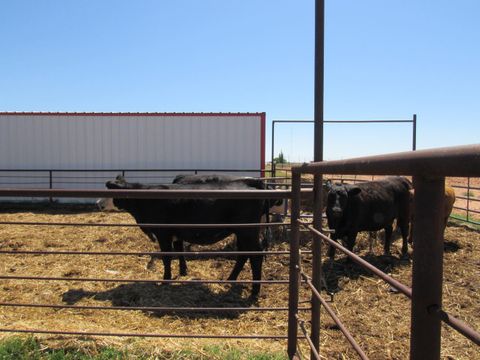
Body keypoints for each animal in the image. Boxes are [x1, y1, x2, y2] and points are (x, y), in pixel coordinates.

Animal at [101, 175, 282, 298]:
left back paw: (255, 291)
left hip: (248, 231)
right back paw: (230, 279)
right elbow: (179, 251)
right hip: (242, 232)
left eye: (111, 191)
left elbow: (167, 256)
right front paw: (182, 272)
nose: (98, 203)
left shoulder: (163, 233)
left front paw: (165, 280)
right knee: (244, 254)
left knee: (256, 255)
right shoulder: (176, 233)